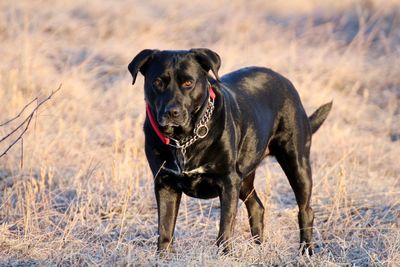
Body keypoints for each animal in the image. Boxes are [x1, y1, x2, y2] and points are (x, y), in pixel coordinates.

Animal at [128, 48, 332, 255]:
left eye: (188, 83)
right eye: (157, 82)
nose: (172, 112)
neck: (183, 140)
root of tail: (284, 80)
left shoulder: (228, 181)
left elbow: (225, 225)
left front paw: (224, 254)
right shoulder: (165, 183)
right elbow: (165, 227)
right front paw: (163, 256)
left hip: (296, 163)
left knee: (305, 210)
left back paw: (306, 251)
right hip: (244, 176)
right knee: (256, 206)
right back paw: (259, 247)